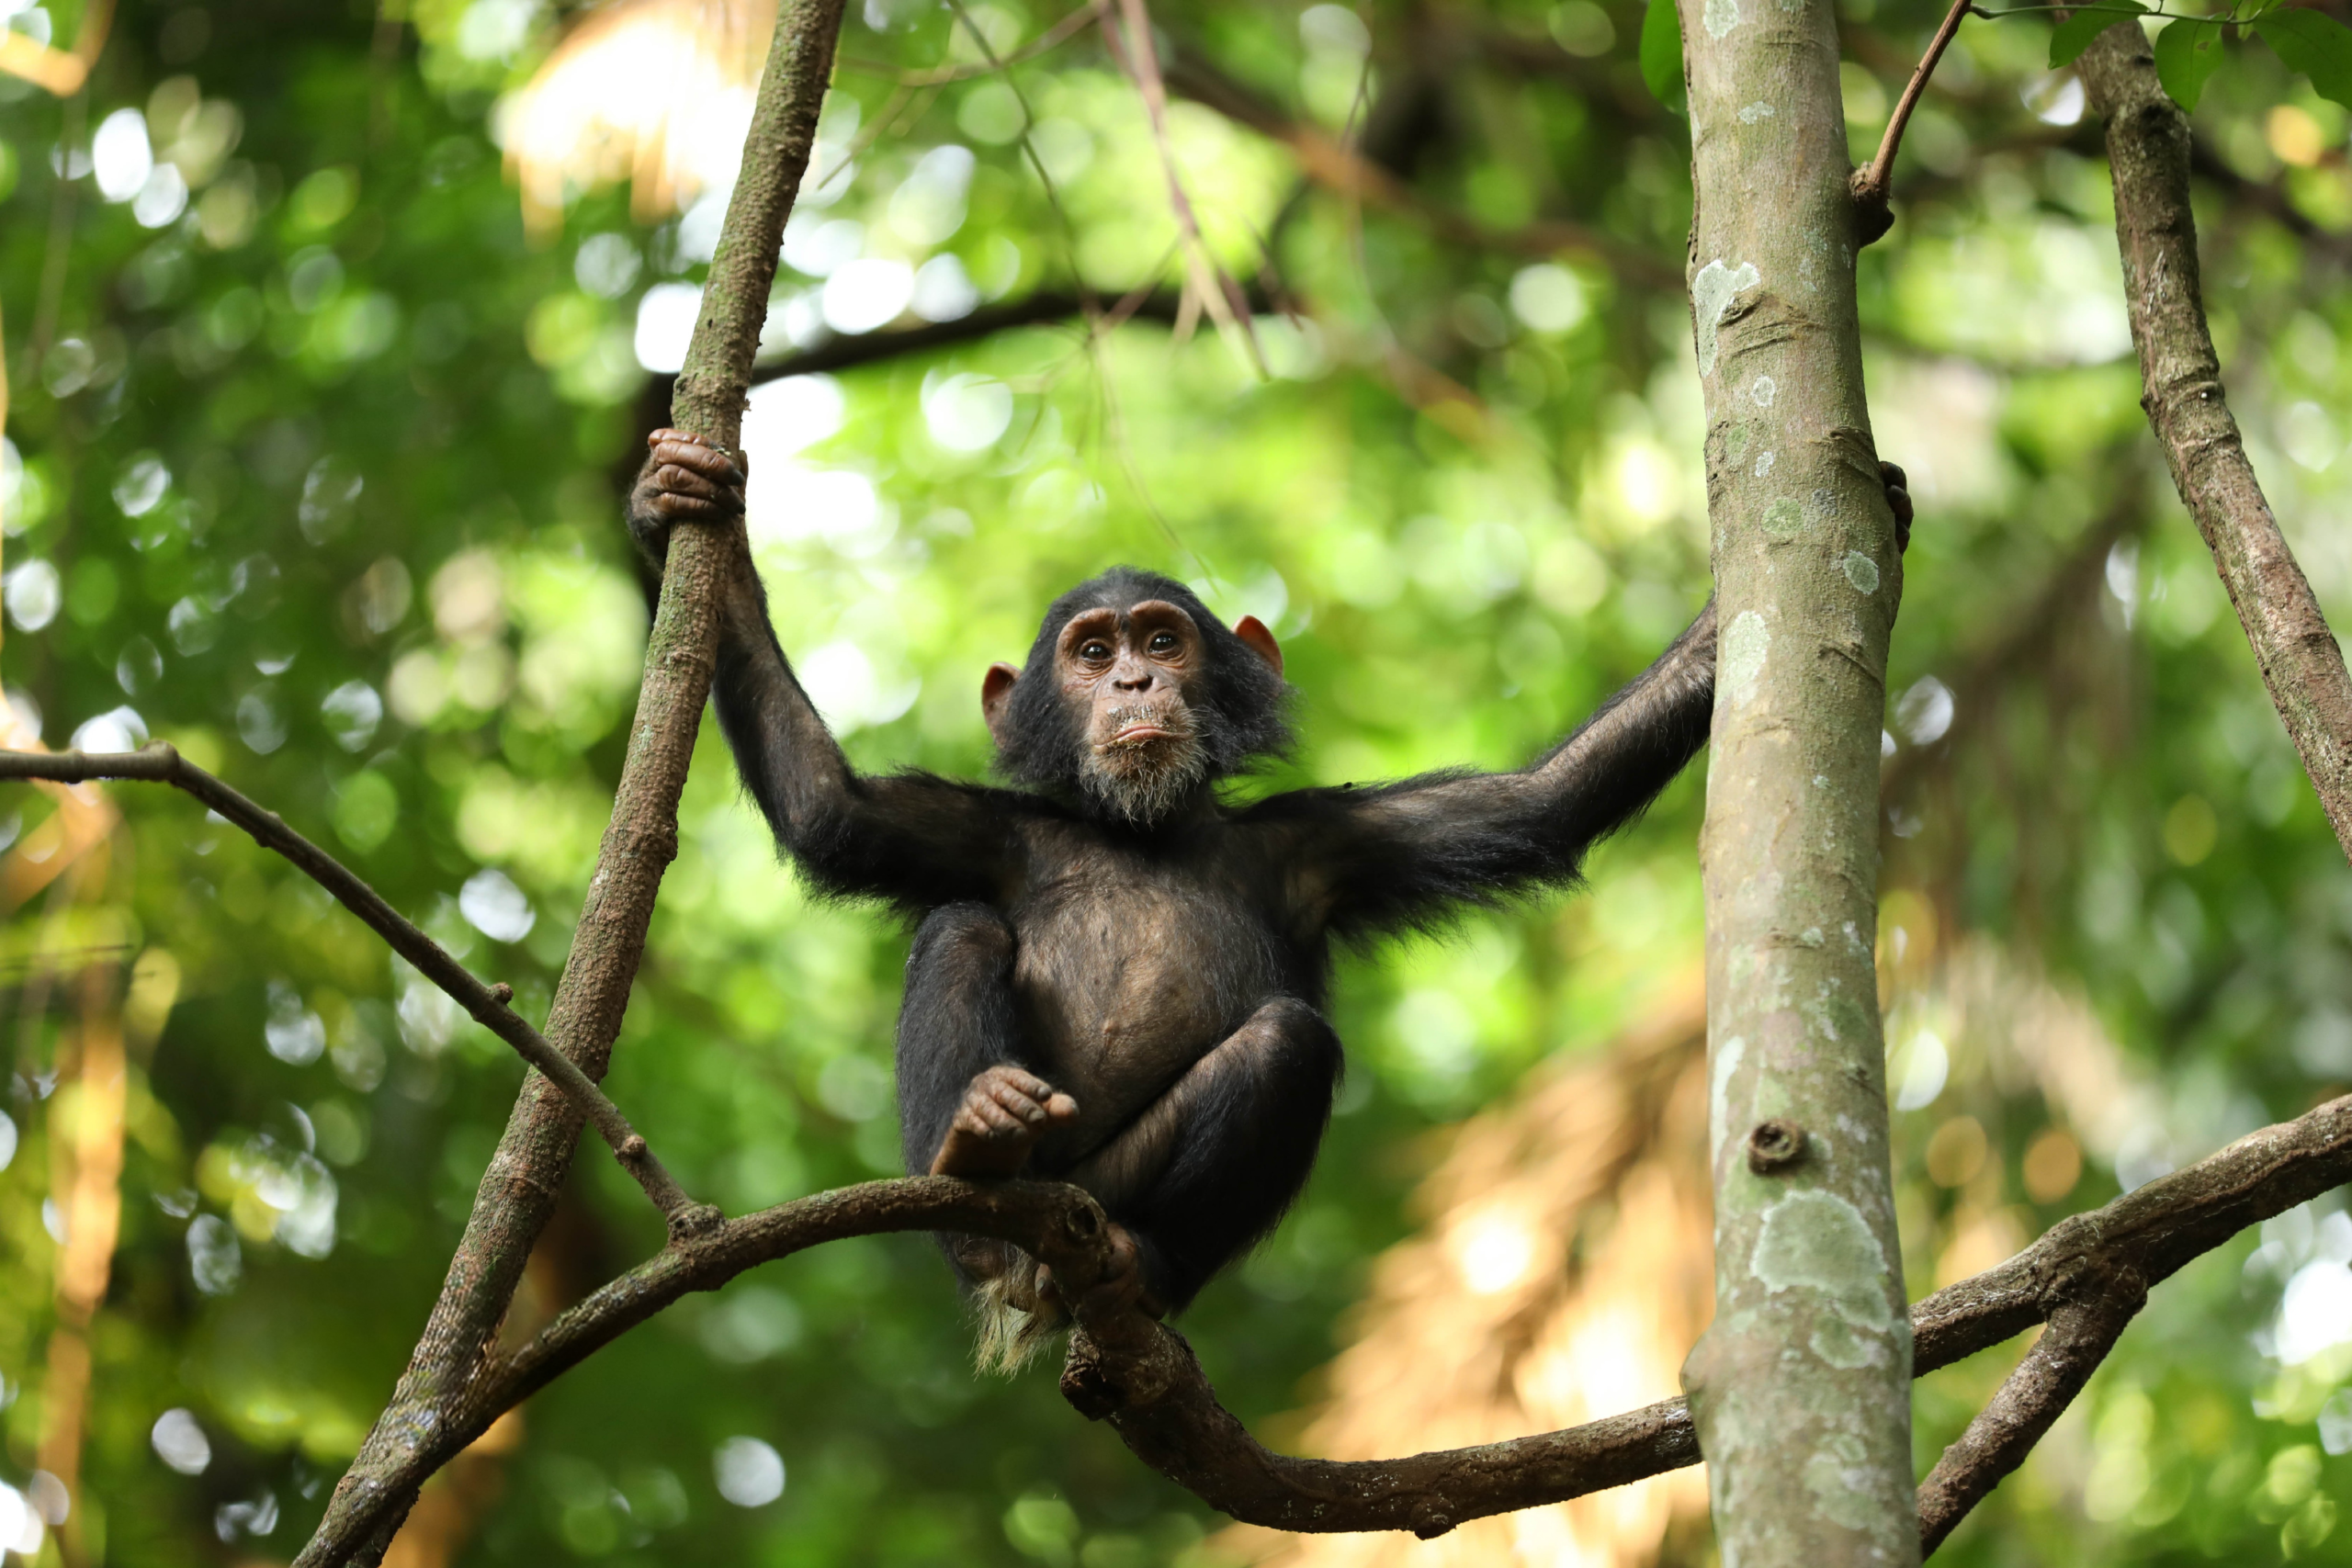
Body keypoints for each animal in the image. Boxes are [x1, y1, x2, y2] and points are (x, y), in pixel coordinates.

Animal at [627, 427, 1913, 1368]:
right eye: (1089, 654)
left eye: (1161, 641)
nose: (1134, 683)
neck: (1141, 828)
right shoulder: (981, 835)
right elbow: (831, 808)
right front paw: (688, 515)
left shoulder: (1326, 845)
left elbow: (1536, 804)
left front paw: (1775, 588)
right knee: (961, 927)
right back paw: (979, 1148)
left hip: (1105, 1195)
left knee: (1286, 1045)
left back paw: (1141, 1267)